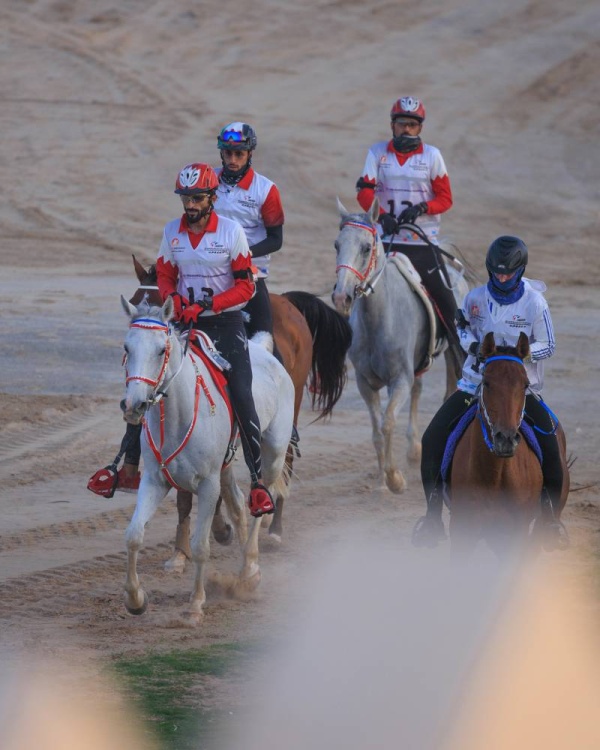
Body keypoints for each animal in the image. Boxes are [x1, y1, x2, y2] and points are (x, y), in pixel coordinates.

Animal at [120, 296, 296, 624]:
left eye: (161, 350)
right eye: (127, 347)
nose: (133, 405)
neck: (177, 414)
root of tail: (263, 349)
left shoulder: (207, 484)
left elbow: (201, 546)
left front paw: (195, 605)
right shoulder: (154, 481)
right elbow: (134, 535)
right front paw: (135, 599)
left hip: (273, 454)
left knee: (260, 501)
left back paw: (250, 570)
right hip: (226, 467)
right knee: (238, 505)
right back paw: (245, 570)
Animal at [127, 256, 352, 568]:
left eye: (164, 302)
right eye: (136, 300)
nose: (134, 403)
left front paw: (219, 532)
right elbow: (185, 498)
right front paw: (180, 552)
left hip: (283, 425)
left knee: (280, 467)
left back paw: (272, 532)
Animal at [332, 197, 468, 496]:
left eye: (366, 247)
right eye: (337, 245)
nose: (341, 297)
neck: (379, 318)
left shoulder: (399, 380)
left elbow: (388, 422)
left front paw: (395, 479)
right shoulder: (366, 383)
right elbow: (376, 431)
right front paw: (382, 479)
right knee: (420, 389)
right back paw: (414, 449)